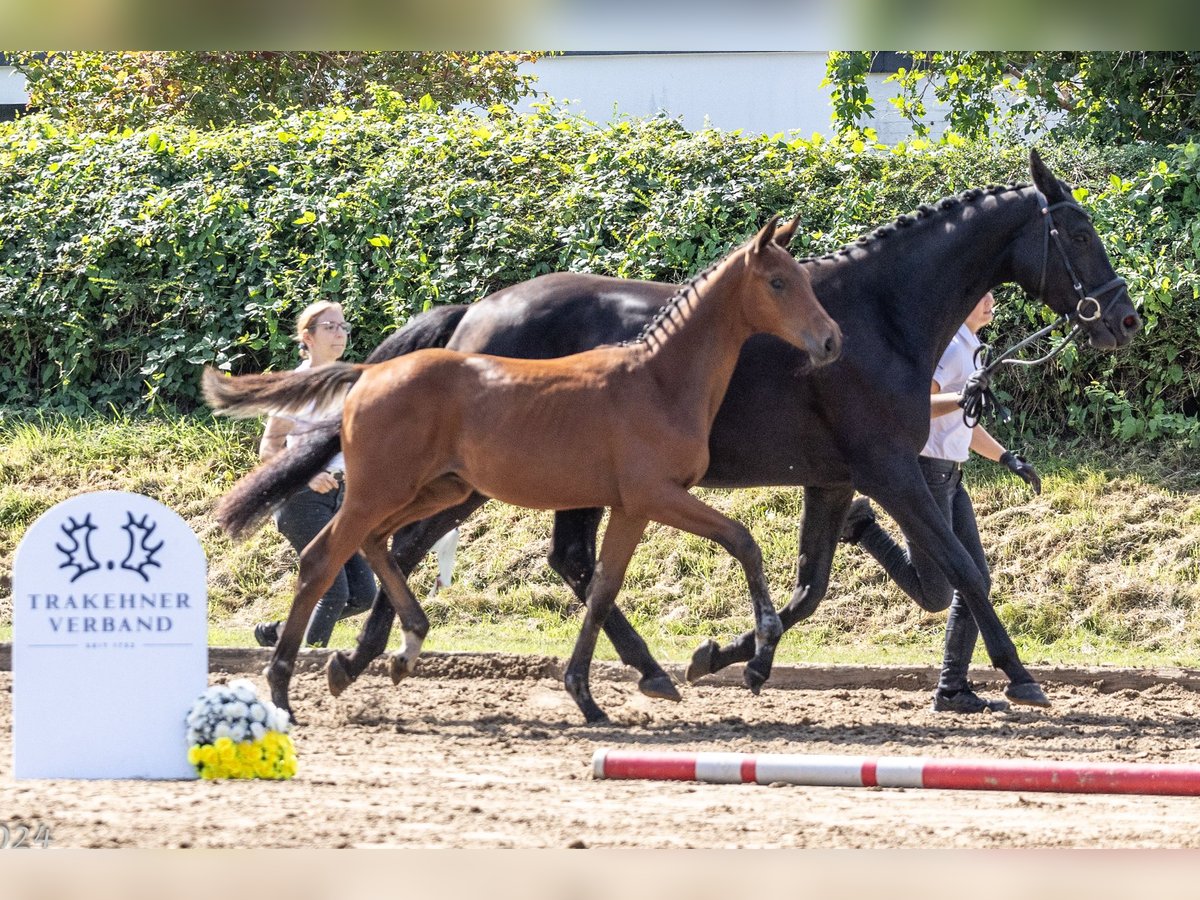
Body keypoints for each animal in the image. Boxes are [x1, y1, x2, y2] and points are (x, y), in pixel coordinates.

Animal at [206, 214, 840, 724]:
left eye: (804, 278)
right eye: (778, 282)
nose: (831, 341)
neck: (658, 380)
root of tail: (367, 374)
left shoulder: (629, 508)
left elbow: (603, 588)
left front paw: (588, 695)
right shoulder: (656, 496)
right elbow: (743, 540)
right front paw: (757, 653)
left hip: (439, 490)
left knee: (381, 543)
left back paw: (398, 650)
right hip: (380, 490)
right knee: (323, 559)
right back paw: (284, 689)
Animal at [304, 146, 1137, 710]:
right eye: (1079, 234)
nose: (1124, 319)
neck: (879, 317)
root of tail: (475, 314)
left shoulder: (835, 480)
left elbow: (809, 587)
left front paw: (729, 657)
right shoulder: (892, 470)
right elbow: (963, 571)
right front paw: (1022, 677)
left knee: (537, 556)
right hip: (485, 478)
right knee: (420, 542)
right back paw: (369, 655)